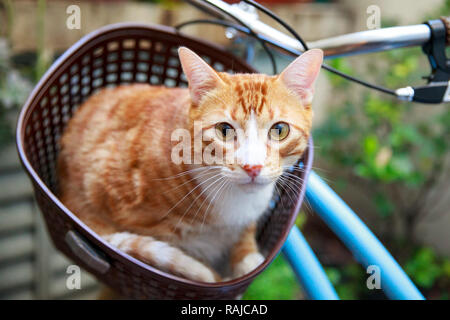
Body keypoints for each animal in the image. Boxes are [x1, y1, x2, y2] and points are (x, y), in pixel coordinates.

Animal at [58, 46, 322, 282]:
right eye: (224, 130)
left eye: (279, 130)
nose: (252, 167)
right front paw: (217, 275)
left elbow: (245, 238)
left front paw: (246, 260)